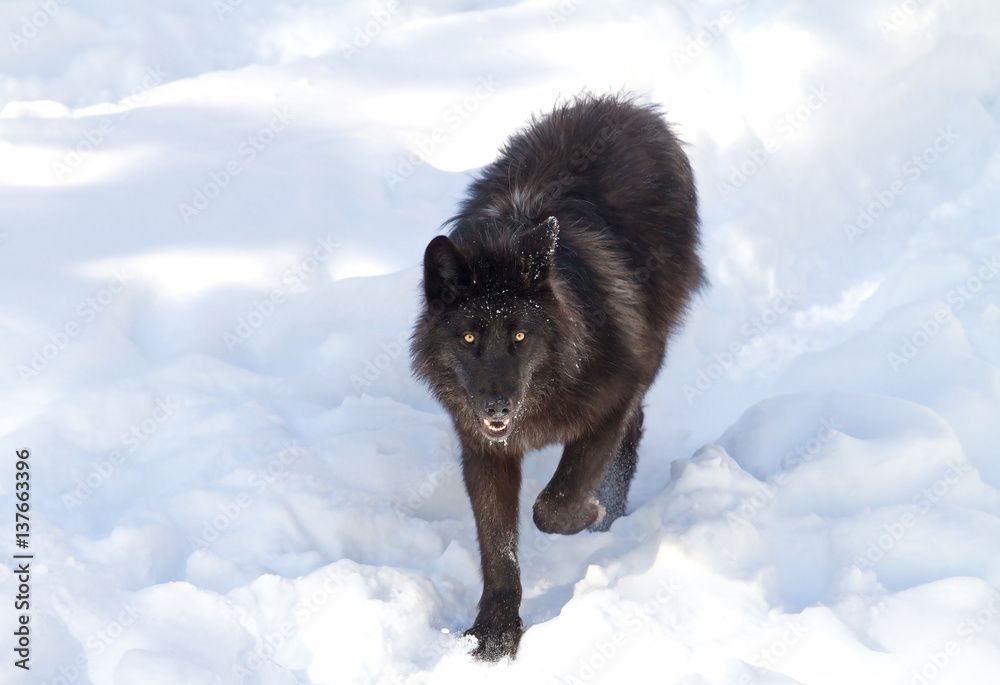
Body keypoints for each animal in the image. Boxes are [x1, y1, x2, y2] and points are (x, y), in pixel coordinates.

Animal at [410, 93, 703, 661]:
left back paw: (608, 520)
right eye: (469, 338)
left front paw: (588, 514)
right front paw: (497, 631)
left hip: (648, 352)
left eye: (521, 336)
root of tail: (633, 108)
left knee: (632, 431)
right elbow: (498, 550)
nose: (498, 407)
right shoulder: (484, 450)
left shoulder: (611, 402)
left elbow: (553, 505)